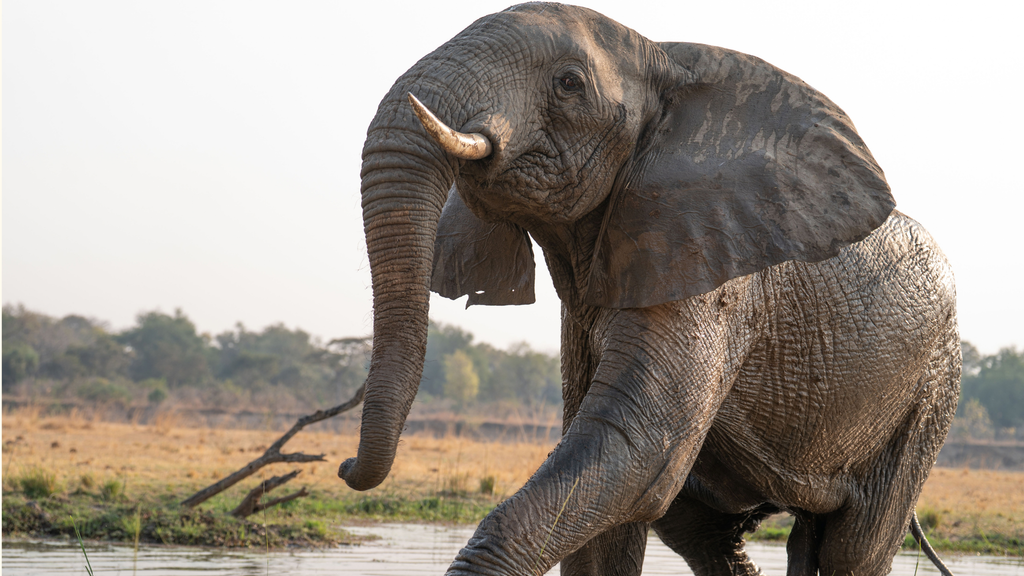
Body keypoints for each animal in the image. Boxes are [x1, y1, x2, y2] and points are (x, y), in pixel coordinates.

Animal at [339, 4, 960, 576]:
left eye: (569, 84)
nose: (345, 468)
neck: (665, 62)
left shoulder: (709, 273)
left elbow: (633, 452)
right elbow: (603, 492)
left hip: (926, 396)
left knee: (853, 547)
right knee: (704, 529)